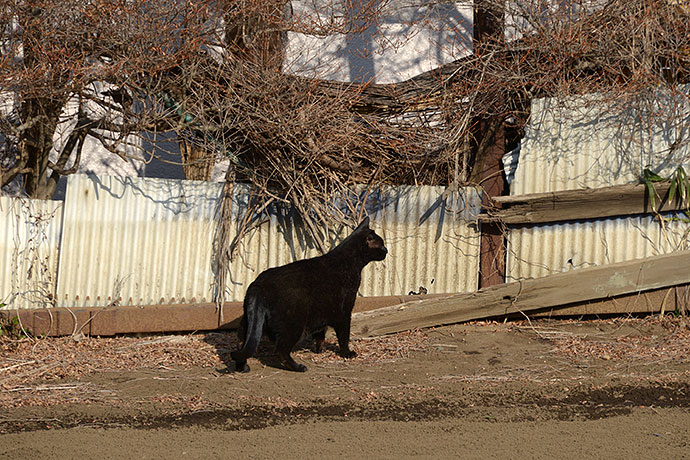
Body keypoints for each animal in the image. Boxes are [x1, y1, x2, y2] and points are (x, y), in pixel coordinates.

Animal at [228, 217, 384, 372]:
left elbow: (320, 334)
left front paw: (320, 350)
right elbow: (344, 336)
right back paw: (298, 367)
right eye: (381, 245)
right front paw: (347, 353)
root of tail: (259, 286)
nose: (386, 250)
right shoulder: (344, 312)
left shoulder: (323, 314)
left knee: (241, 344)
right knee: (281, 350)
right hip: (294, 326)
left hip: (248, 324)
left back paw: (243, 367)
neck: (350, 262)